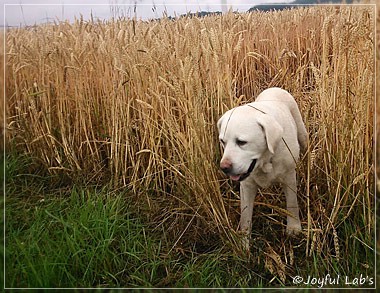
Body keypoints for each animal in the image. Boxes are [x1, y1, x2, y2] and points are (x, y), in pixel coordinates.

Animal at [218, 87, 308, 249]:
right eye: (223, 141)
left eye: (241, 142)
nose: (224, 167)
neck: (266, 161)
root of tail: (275, 88)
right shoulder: (246, 186)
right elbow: (245, 217)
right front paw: (244, 243)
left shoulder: (289, 178)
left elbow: (292, 204)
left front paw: (293, 228)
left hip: (303, 135)